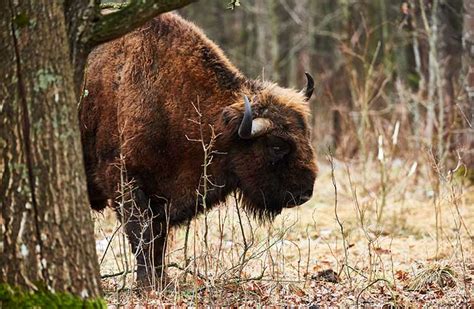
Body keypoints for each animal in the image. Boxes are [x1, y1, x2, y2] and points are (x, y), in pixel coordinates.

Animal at [81, 12, 318, 286]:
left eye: (305, 134)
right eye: (277, 145)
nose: (305, 193)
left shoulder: (162, 199)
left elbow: (158, 240)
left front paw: (162, 280)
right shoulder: (126, 183)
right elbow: (142, 236)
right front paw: (148, 284)